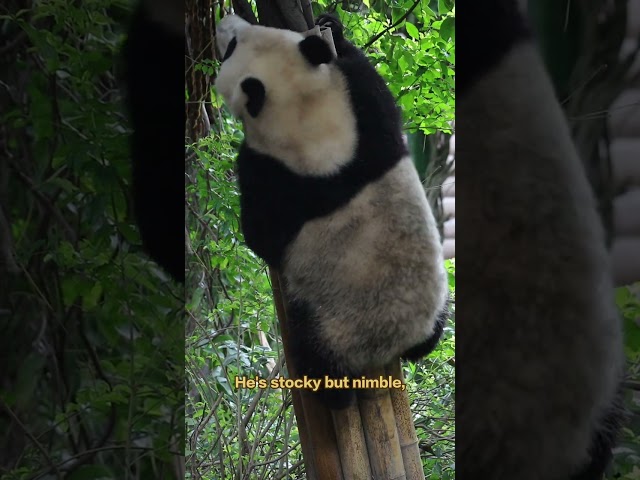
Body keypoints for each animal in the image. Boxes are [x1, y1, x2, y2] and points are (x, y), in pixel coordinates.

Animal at [214, 13, 449, 409]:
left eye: (232, 47)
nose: (224, 22)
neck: (305, 113)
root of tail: (403, 340)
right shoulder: (367, 127)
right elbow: (374, 89)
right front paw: (332, 28)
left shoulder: (275, 175)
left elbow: (262, 235)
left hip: (335, 328)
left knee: (318, 357)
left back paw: (331, 392)